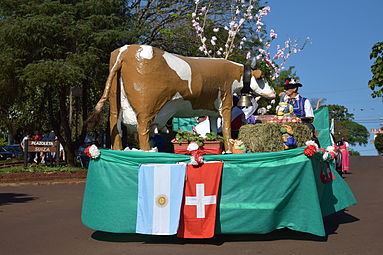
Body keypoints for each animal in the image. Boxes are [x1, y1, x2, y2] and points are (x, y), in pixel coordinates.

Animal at [90, 44, 276, 151]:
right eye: (263, 78)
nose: (273, 93)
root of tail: (125, 50)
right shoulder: (226, 101)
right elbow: (226, 127)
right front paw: (230, 149)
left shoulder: (212, 108)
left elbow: (214, 128)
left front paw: (217, 144)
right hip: (146, 107)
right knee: (142, 130)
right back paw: (148, 152)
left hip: (116, 104)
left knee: (116, 127)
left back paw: (119, 150)